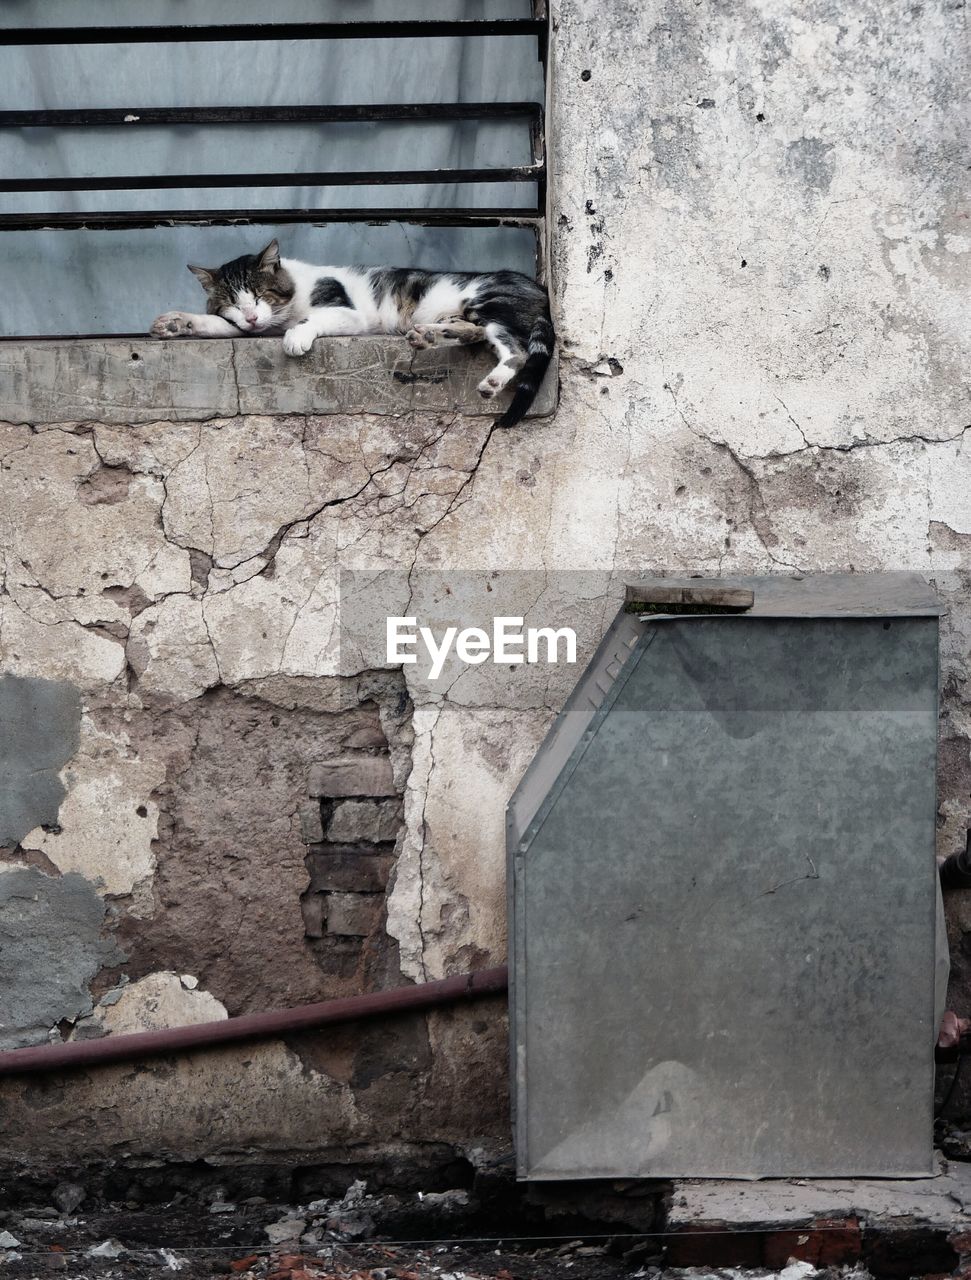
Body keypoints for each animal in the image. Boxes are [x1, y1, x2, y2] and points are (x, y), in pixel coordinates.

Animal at [148, 241, 550, 432]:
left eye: (260, 295)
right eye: (233, 303)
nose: (250, 316)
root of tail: (538, 286)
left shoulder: (347, 313)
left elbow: (310, 320)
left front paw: (296, 336)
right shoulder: (249, 328)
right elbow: (219, 325)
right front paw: (177, 323)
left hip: (488, 301)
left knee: (513, 348)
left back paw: (491, 381)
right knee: (474, 332)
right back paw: (427, 335)